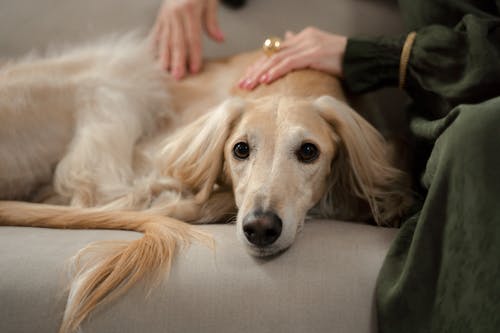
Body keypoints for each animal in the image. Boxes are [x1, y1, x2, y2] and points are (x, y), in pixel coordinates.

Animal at [0, 35, 414, 330]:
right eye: (240, 149)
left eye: (309, 151)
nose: (260, 228)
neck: (289, 82)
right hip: (118, 75)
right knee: (96, 191)